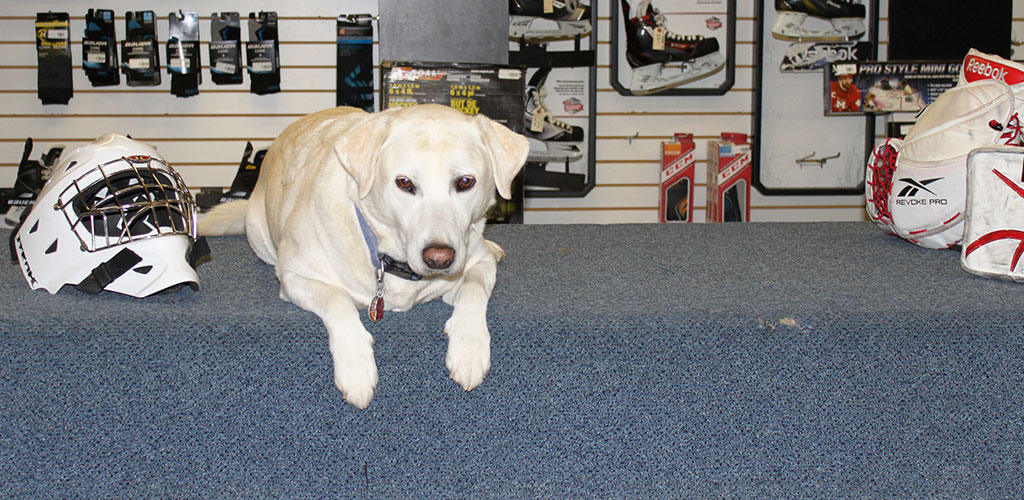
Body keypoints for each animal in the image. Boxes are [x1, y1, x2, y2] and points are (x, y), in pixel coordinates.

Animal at [199, 104, 528, 405]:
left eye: (465, 182)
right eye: (404, 183)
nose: (439, 258)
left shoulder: (478, 264)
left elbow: (474, 289)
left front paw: (469, 350)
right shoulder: (294, 276)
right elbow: (337, 300)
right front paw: (357, 370)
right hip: (260, 234)